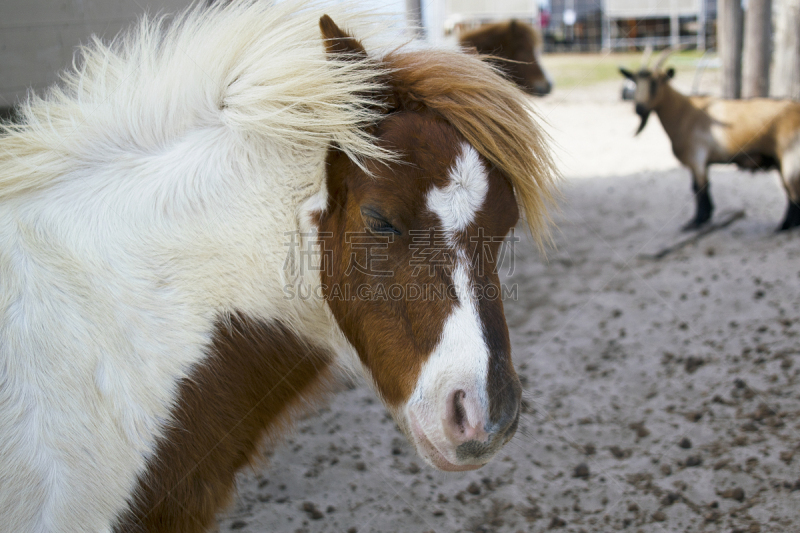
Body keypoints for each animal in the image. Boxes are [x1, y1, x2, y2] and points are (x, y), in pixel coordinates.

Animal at [620, 50, 800, 231]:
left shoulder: (696, 159)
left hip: (789, 158)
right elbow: (701, 187)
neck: (684, 113)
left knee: (791, 189)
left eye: (654, 83)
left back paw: (785, 225)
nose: (639, 108)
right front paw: (704, 217)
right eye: (635, 81)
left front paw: (696, 221)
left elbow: (699, 189)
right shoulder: (701, 162)